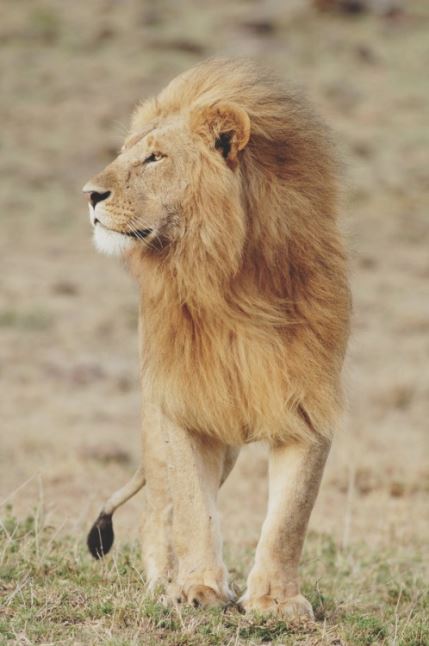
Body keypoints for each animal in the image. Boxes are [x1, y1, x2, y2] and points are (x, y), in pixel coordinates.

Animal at [83, 58, 350, 619]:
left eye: (155, 157)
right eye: (124, 153)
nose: (90, 194)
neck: (234, 280)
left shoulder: (310, 402)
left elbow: (290, 516)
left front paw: (275, 601)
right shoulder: (182, 399)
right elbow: (190, 507)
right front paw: (198, 589)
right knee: (158, 508)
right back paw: (164, 581)